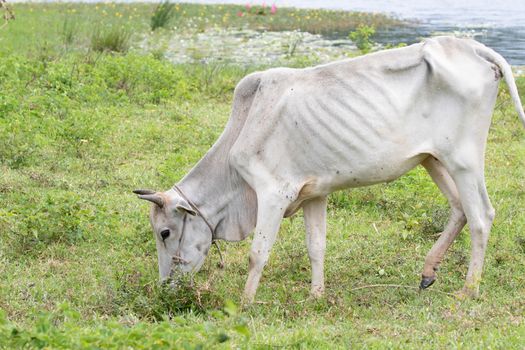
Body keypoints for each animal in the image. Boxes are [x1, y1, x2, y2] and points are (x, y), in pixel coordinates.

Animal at [132, 36, 524, 304]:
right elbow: (316, 246)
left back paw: (468, 290)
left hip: (464, 160)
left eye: (165, 232)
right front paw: (316, 295)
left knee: (481, 215)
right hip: (433, 159)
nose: (165, 287)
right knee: (459, 209)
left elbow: (257, 253)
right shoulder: (314, 194)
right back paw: (428, 272)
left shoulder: (273, 192)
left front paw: (244, 303)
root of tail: (471, 47)